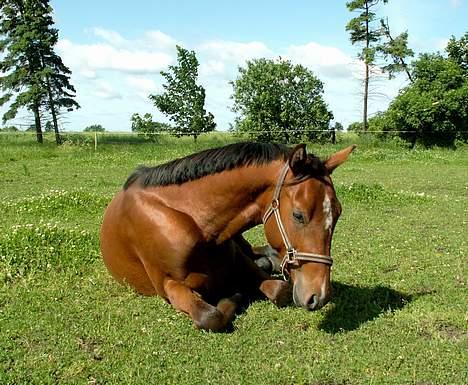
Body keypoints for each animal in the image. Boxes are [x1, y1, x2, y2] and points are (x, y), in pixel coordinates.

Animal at [99, 142, 354, 330]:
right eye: (298, 215)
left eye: (338, 213)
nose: (319, 295)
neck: (195, 221)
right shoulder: (168, 285)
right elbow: (210, 317)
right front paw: (232, 296)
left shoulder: (240, 263)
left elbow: (278, 290)